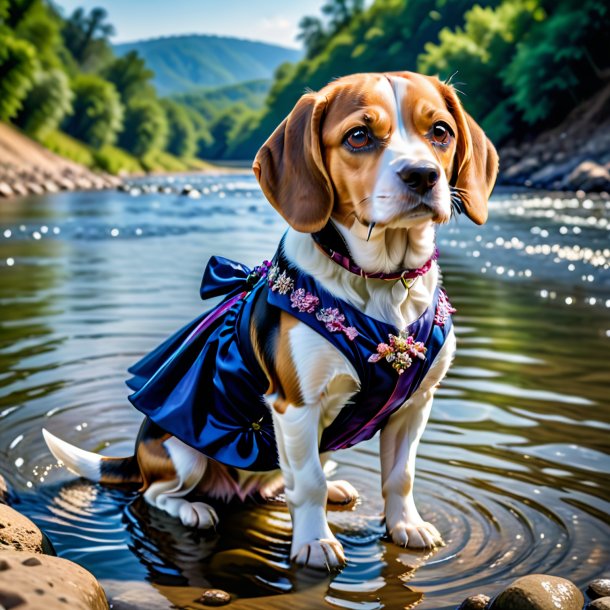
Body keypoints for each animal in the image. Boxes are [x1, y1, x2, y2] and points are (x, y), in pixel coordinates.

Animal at [45, 71, 496, 568]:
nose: (422, 175)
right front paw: (315, 542)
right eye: (358, 136)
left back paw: (331, 488)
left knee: (284, 482)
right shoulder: (296, 406)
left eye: (440, 132)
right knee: (155, 494)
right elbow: (309, 483)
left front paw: (405, 526)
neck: (383, 284)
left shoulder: (415, 405)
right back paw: (193, 510)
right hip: (183, 455)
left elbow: (400, 476)